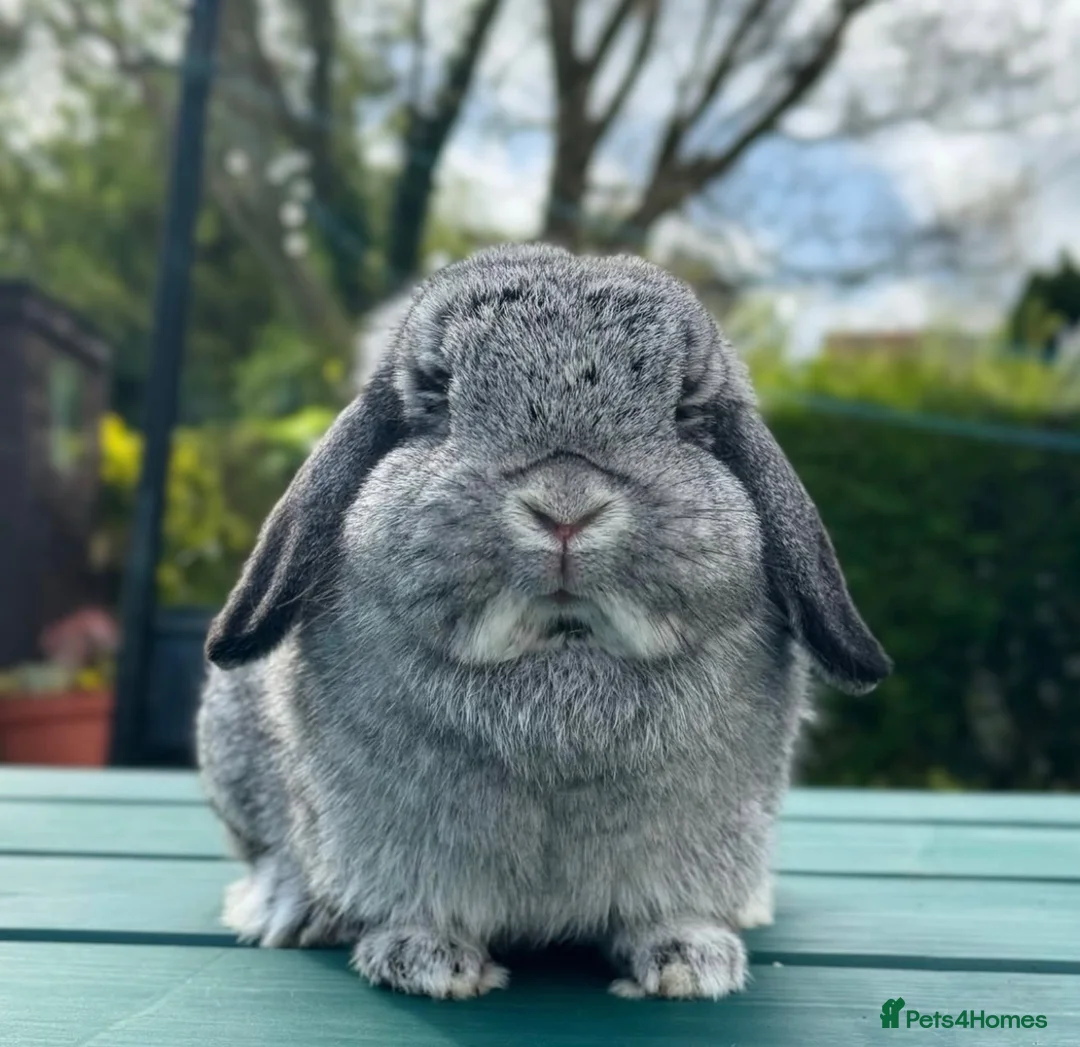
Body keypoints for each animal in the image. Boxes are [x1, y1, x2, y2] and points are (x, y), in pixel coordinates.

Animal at [197, 242, 891, 1001]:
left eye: (686, 410)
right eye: (437, 398)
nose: (565, 508)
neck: (560, 652)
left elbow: (665, 909)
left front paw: (689, 959)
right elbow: (416, 903)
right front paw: (426, 959)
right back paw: (294, 907)